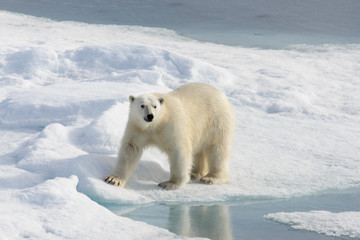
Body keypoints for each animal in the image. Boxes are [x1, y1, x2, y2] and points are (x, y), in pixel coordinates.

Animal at [105, 82, 233, 189]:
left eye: (155, 106)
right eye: (142, 105)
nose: (150, 116)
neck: (156, 124)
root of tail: (220, 93)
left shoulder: (172, 125)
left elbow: (178, 150)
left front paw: (169, 184)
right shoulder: (137, 128)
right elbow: (131, 149)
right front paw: (113, 179)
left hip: (216, 122)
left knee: (217, 150)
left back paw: (211, 178)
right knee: (198, 151)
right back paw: (194, 173)